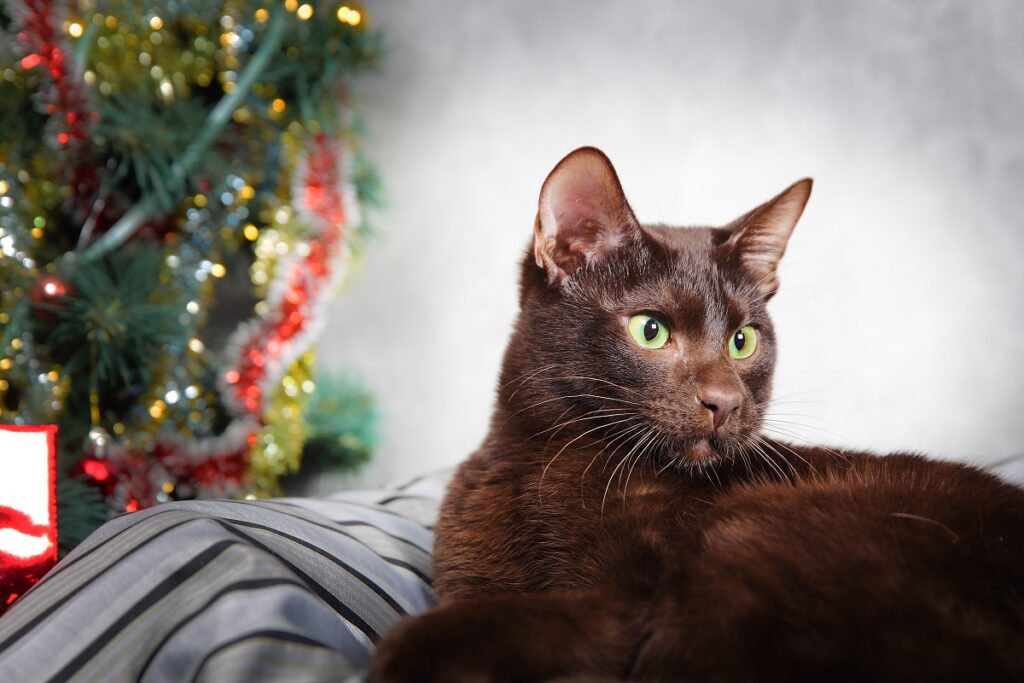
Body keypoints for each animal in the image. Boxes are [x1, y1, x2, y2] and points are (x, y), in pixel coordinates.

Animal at [370, 147, 1024, 679]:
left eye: (742, 340)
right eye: (651, 330)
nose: (725, 401)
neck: (542, 457)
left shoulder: (621, 610)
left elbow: (449, 630)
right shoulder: (468, 582)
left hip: (749, 531)